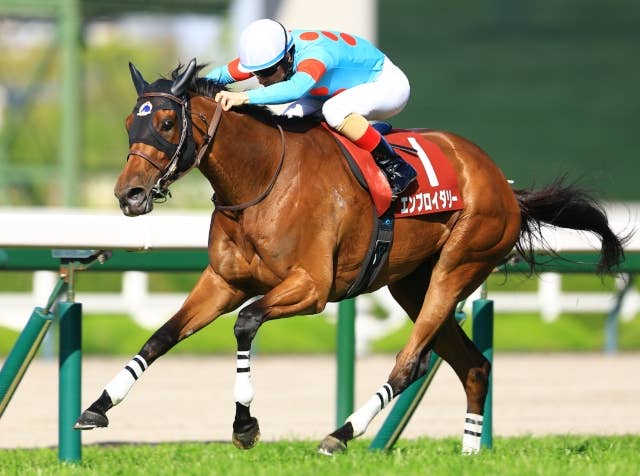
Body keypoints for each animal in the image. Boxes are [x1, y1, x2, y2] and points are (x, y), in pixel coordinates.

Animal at [74, 59, 626, 455]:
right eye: (129, 122)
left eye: (168, 122)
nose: (129, 196)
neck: (260, 179)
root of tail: (505, 185)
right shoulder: (223, 282)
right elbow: (161, 336)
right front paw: (98, 406)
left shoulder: (311, 288)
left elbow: (246, 324)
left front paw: (246, 426)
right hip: (411, 285)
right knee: (472, 365)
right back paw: (470, 452)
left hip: (459, 265)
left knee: (410, 363)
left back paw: (342, 434)